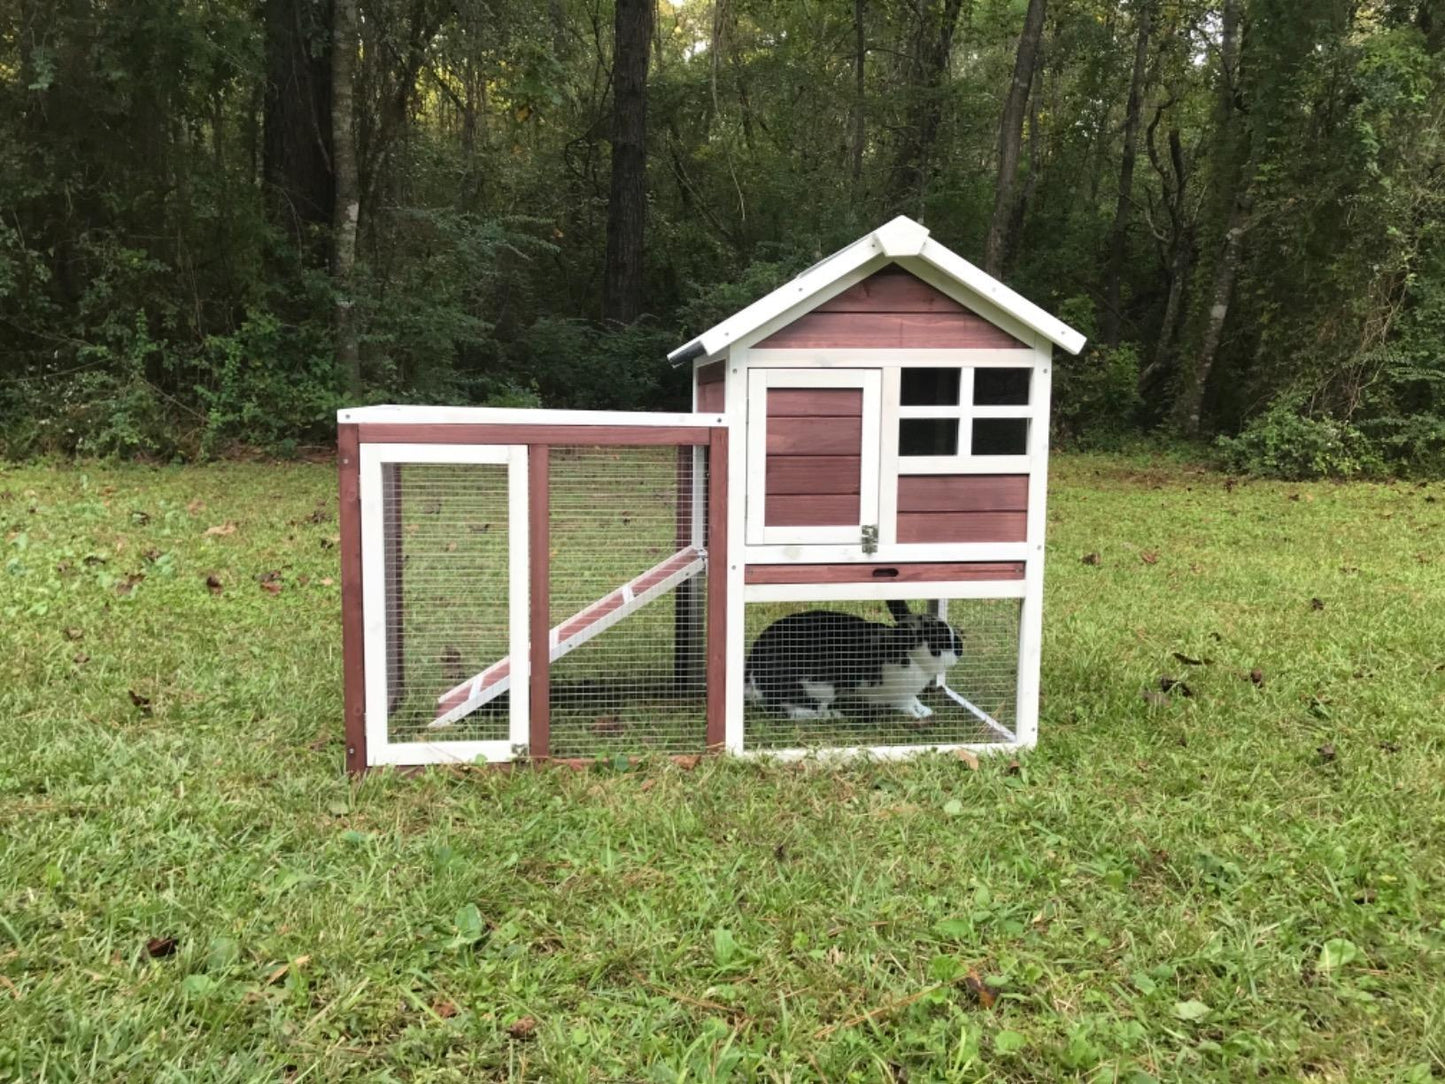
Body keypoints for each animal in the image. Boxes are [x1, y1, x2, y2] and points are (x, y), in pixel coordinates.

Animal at [745, 604, 959, 722]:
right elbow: (906, 705)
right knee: (799, 709)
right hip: (819, 689)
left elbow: (915, 701)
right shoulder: (898, 695)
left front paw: (925, 711)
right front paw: (917, 715)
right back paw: (832, 715)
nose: (960, 647)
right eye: (940, 638)